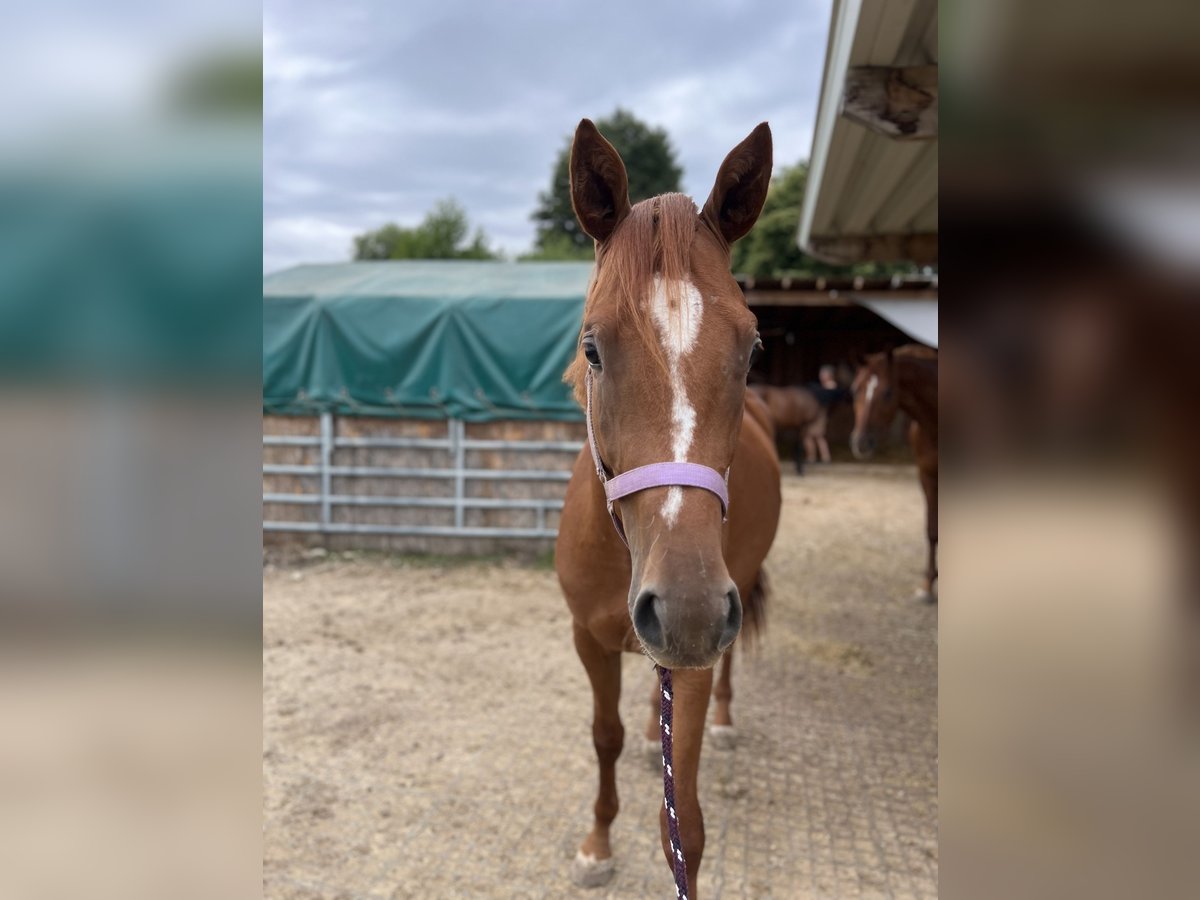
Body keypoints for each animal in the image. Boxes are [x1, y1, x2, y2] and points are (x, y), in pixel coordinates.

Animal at [556, 118, 782, 897]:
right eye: (593, 348)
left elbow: (682, 817)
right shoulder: (589, 639)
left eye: (752, 347)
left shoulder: (691, 663)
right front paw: (596, 841)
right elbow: (604, 736)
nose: (687, 610)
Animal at [849, 348, 940, 602]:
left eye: (888, 392)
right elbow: (932, 530)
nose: (861, 442)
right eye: (855, 389)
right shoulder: (927, 476)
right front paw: (927, 585)